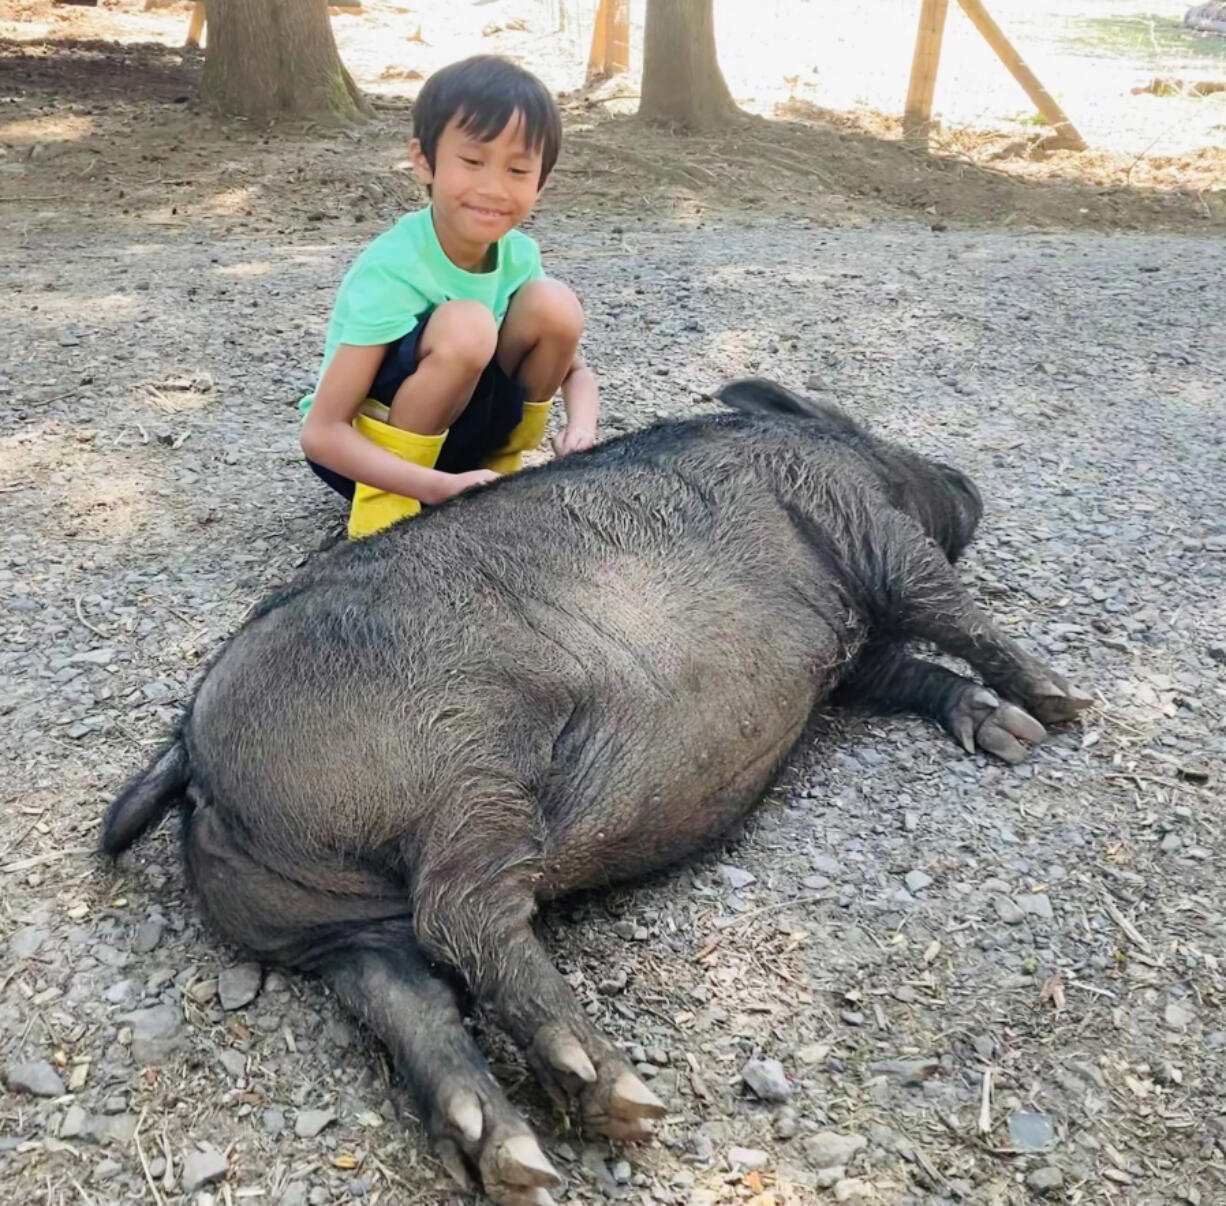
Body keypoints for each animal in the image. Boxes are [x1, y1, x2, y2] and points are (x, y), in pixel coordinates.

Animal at [100, 382, 1088, 1201]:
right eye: (857, 424)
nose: (965, 478)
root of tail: (189, 746)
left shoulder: (845, 668)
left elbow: (910, 669)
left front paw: (1006, 733)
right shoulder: (859, 524)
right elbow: (946, 605)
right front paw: (1059, 708)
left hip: (340, 933)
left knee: (410, 998)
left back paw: (517, 1164)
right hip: (468, 763)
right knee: (461, 915)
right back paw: (625, 1101)